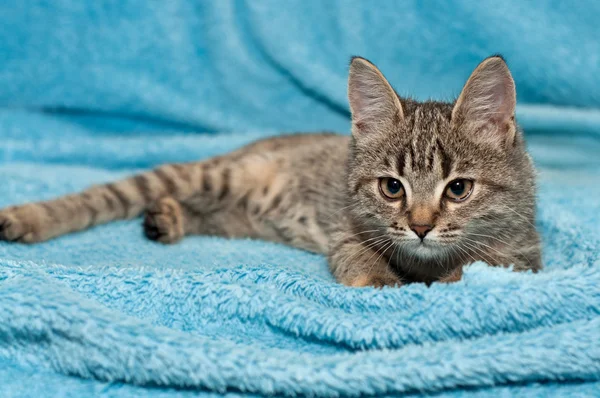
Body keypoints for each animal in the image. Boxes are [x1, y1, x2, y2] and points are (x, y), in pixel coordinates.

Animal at [1, 55, 544, 286]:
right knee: (110, 195)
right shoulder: (348, 229)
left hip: (238, 217)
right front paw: (381, 282)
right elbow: (361, 258)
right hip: (215, 174)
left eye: (459, 188)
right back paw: (29, 218)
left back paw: (168, 218)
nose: (421, 227)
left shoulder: (523, 256)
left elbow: (481, 270)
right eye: (392, 187)